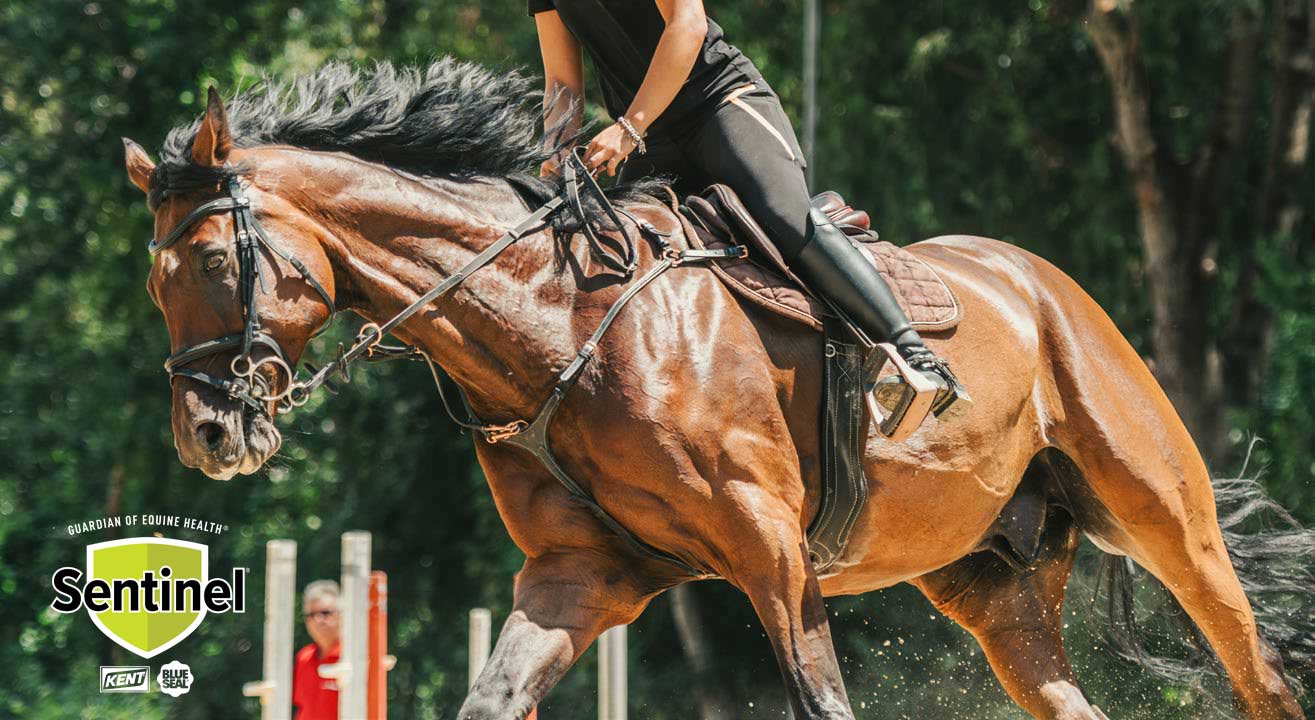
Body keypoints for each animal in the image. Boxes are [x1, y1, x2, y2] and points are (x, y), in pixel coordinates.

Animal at [125, 61, 1313, 719]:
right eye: (152, 283)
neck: (553, 324)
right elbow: (493, 696)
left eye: (215, 264)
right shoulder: (581, 574)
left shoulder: (769, 549)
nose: (207, 436)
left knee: (1258, 673)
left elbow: (818, 697)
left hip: (1163, 518)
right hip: (991, 586)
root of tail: (1045, 282)